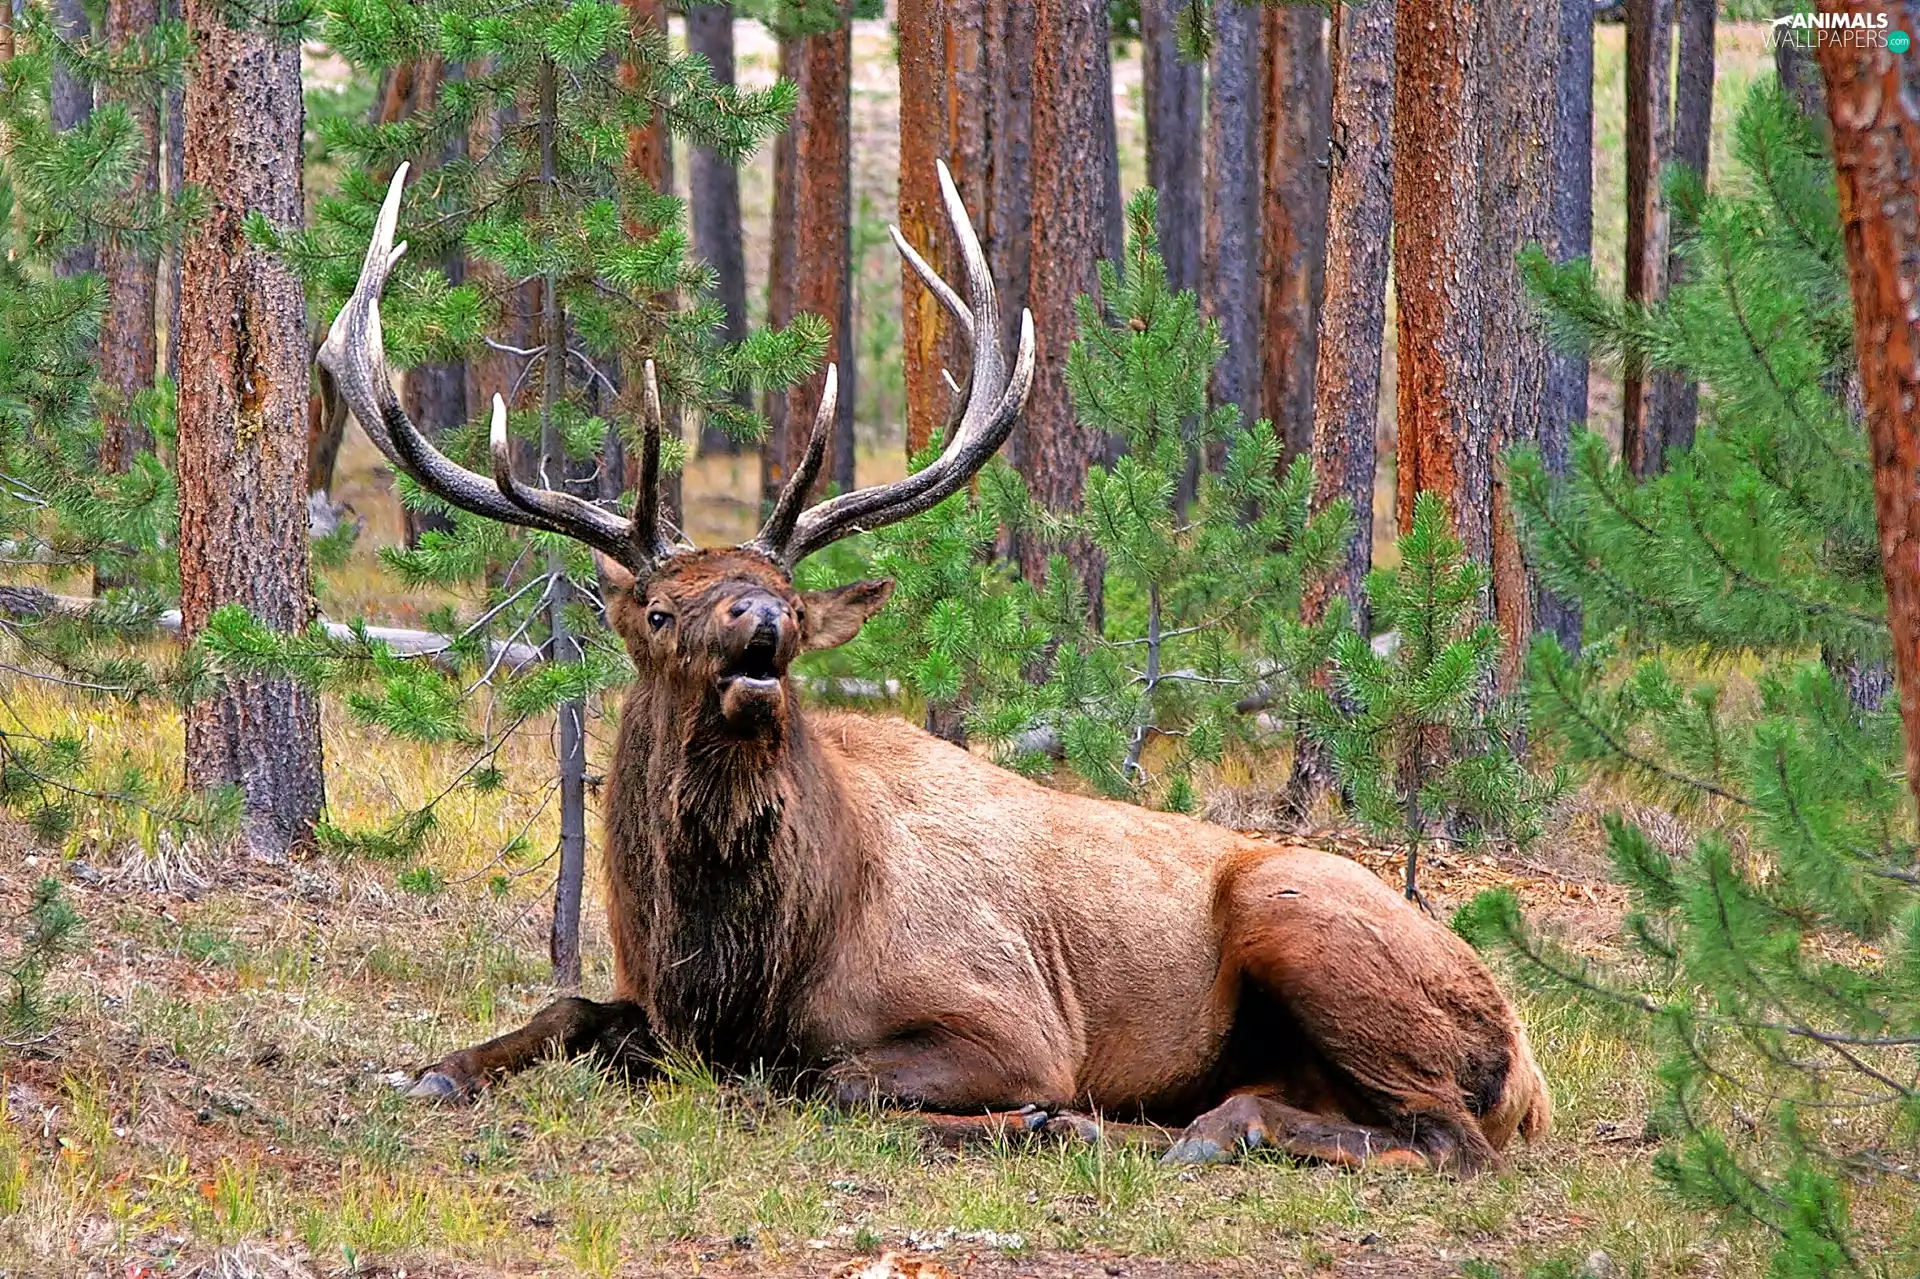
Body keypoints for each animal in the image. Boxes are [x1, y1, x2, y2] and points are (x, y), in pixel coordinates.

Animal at [315, 161, 1552, 1173]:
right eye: (660, 609)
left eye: (795, 607)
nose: (760, 624)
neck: (744, 967)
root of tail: (1532, 1067)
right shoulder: (651, 1001)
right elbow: (569, 1007)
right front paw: (438, 1068)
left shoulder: (1011, 1019)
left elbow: (825, 1076)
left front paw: (1028, 1114)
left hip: (1304, 919)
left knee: (1446, 1136)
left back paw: (1198, 1128)